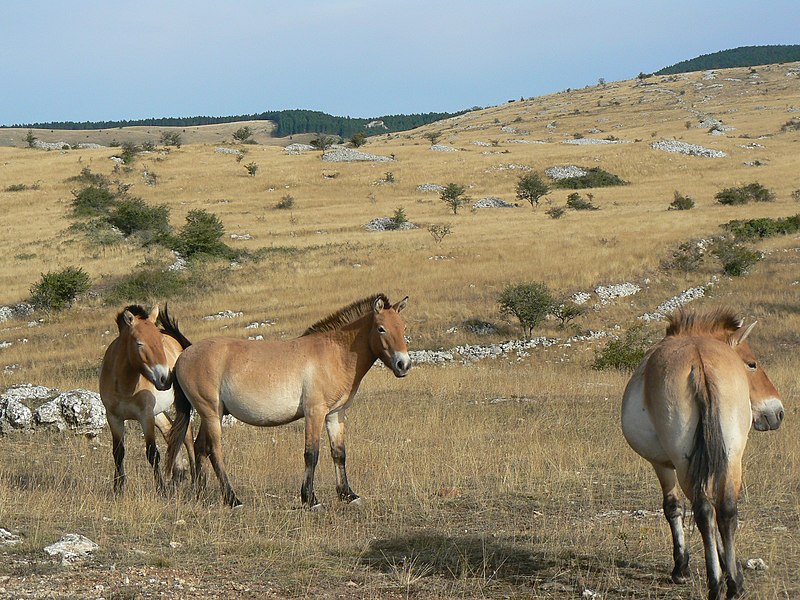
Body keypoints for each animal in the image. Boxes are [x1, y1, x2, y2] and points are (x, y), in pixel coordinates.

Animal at [99, 304, 195, 496]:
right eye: (139, 343)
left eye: (160, 340)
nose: (166, 378)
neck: (124, 385)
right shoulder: (114, 417)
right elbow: (118, 452)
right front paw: (118, 489)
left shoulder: (145, 416)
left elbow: (152, 453)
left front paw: (161, 489)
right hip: (158, 413)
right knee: (169, 432)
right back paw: (178, 474)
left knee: (186, 434)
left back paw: (195, 477)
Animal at [165, 292, 410, 508]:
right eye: (381, 328)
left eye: (403, 327)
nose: (404, 365)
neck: (334, 353)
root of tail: (184, 355)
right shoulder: (314, 412)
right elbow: (312, 454)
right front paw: (310, 499)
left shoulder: (334, 414)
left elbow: (339, 453)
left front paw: (348, 495)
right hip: (211, 414)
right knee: (214, 451)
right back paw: (233, 500)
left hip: (210, 415)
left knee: (199, 448)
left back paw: (201, 493)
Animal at [620, 310, 784, 600]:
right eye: (752, 364)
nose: (778, 412)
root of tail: (699, 359)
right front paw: (729, 570)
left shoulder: (664, 466)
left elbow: (673, 508)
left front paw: (682, 568)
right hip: (732, 459)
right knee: (726, 512)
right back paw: (734, 585)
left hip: (687, 465)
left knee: (704, 512)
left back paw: (716, 584)